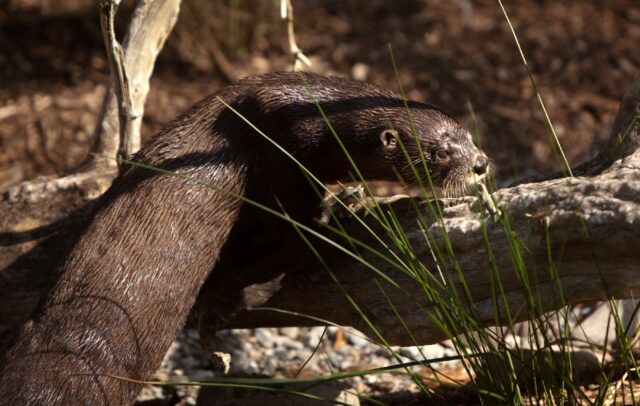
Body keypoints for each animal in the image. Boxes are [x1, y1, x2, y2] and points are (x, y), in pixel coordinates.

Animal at [0, 72, 488, 404]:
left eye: (468, 135)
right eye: (440, 152)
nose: (481, 163)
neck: (301, 110)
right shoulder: (284, 159)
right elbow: (301, 220)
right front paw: (345, 204)